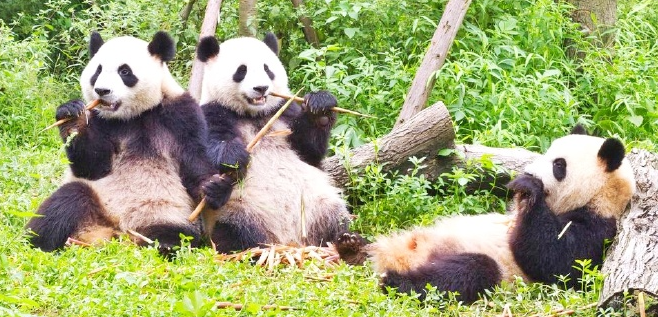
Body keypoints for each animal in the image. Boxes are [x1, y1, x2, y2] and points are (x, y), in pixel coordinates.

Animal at [25, 30, 231, 256]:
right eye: (98, 71)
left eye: (124, 71)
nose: (102, 91)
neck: (132, 116)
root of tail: (116, 233)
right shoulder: (100, 120)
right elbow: (92, 166)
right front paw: (71, 114)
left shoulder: (182, 115)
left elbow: (194, 163)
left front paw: (215, 187)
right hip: (96, 201)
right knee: (66, 201)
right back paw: (37, 242)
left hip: (165, 214)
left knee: (176, 235)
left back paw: (165, 244)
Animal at [193, 32, 348, 253]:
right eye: (241, 71)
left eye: (267, 69)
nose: (261, 88)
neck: (254, 115)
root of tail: (290, 242)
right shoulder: (213, 111)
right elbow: (205, 151)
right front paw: (233, 158)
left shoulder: (284, 111)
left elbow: (309, 151)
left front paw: (321, 108)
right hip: (241, 212)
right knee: (236, 235)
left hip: (318, 204)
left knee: (337, 220)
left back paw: (350, 243)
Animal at [336, 125, 632, 302]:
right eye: (546, 153)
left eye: (559, 165)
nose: (529, 172)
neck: (600, 196)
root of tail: (395, 257)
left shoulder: (599, 228)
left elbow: (558, 261)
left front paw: (528, 188)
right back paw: (353, 246)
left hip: (484, 267)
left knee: (467, 272)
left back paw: (395, 282)